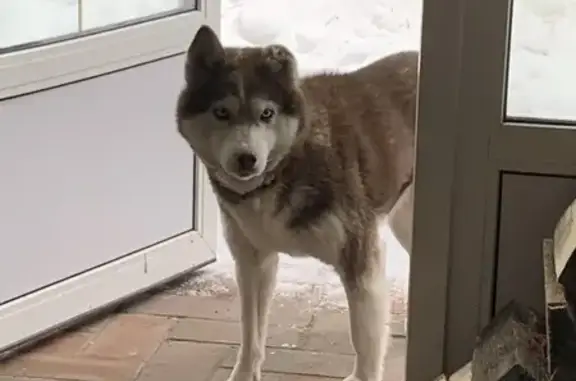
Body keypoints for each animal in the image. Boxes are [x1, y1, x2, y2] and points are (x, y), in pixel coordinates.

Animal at [178, 26, 416, 380]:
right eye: (221, 112)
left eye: (267, 114)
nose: (246, 159)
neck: (283, 170)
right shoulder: (253, 261)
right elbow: (251, 332)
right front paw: (245, 371)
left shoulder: (361, 261)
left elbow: (365, 341)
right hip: (406, 220)